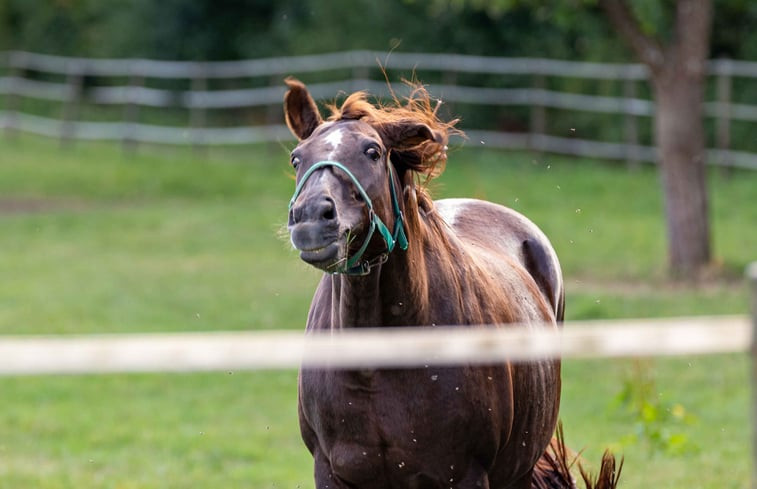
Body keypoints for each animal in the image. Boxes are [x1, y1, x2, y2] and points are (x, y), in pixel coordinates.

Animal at [280, 78, 616, 486]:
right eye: (297, 158)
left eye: (372, 151)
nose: (312, 217)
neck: (377, 365)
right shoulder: (330, 472)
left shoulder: (465, 473)